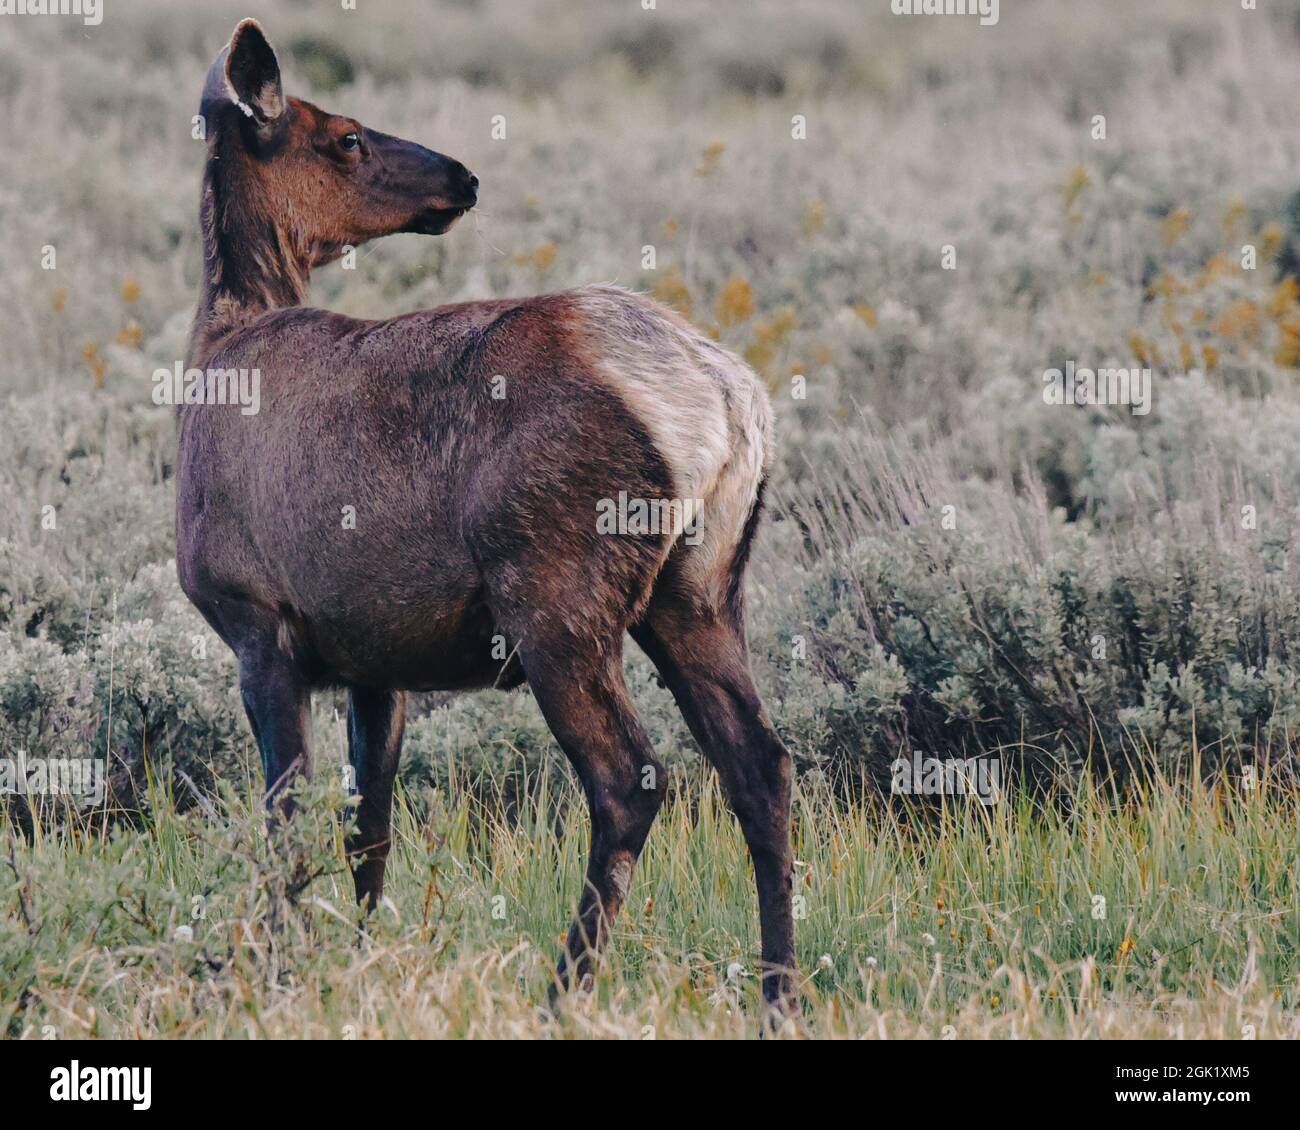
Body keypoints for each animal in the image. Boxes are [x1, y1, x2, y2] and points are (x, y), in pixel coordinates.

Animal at [177, 18, 796, 1019]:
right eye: (348, 137)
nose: (463, 177)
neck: (214, 351)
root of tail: (728, 402)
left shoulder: (257, 619)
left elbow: (286, 823)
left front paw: (270, 976)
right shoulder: (373, 659)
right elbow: (368, 827)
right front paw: (358, 963)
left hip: (557, 593)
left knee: (630, 780)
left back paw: (563, 988)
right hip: (700, 591)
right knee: (762, 768)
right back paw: (779, 992)